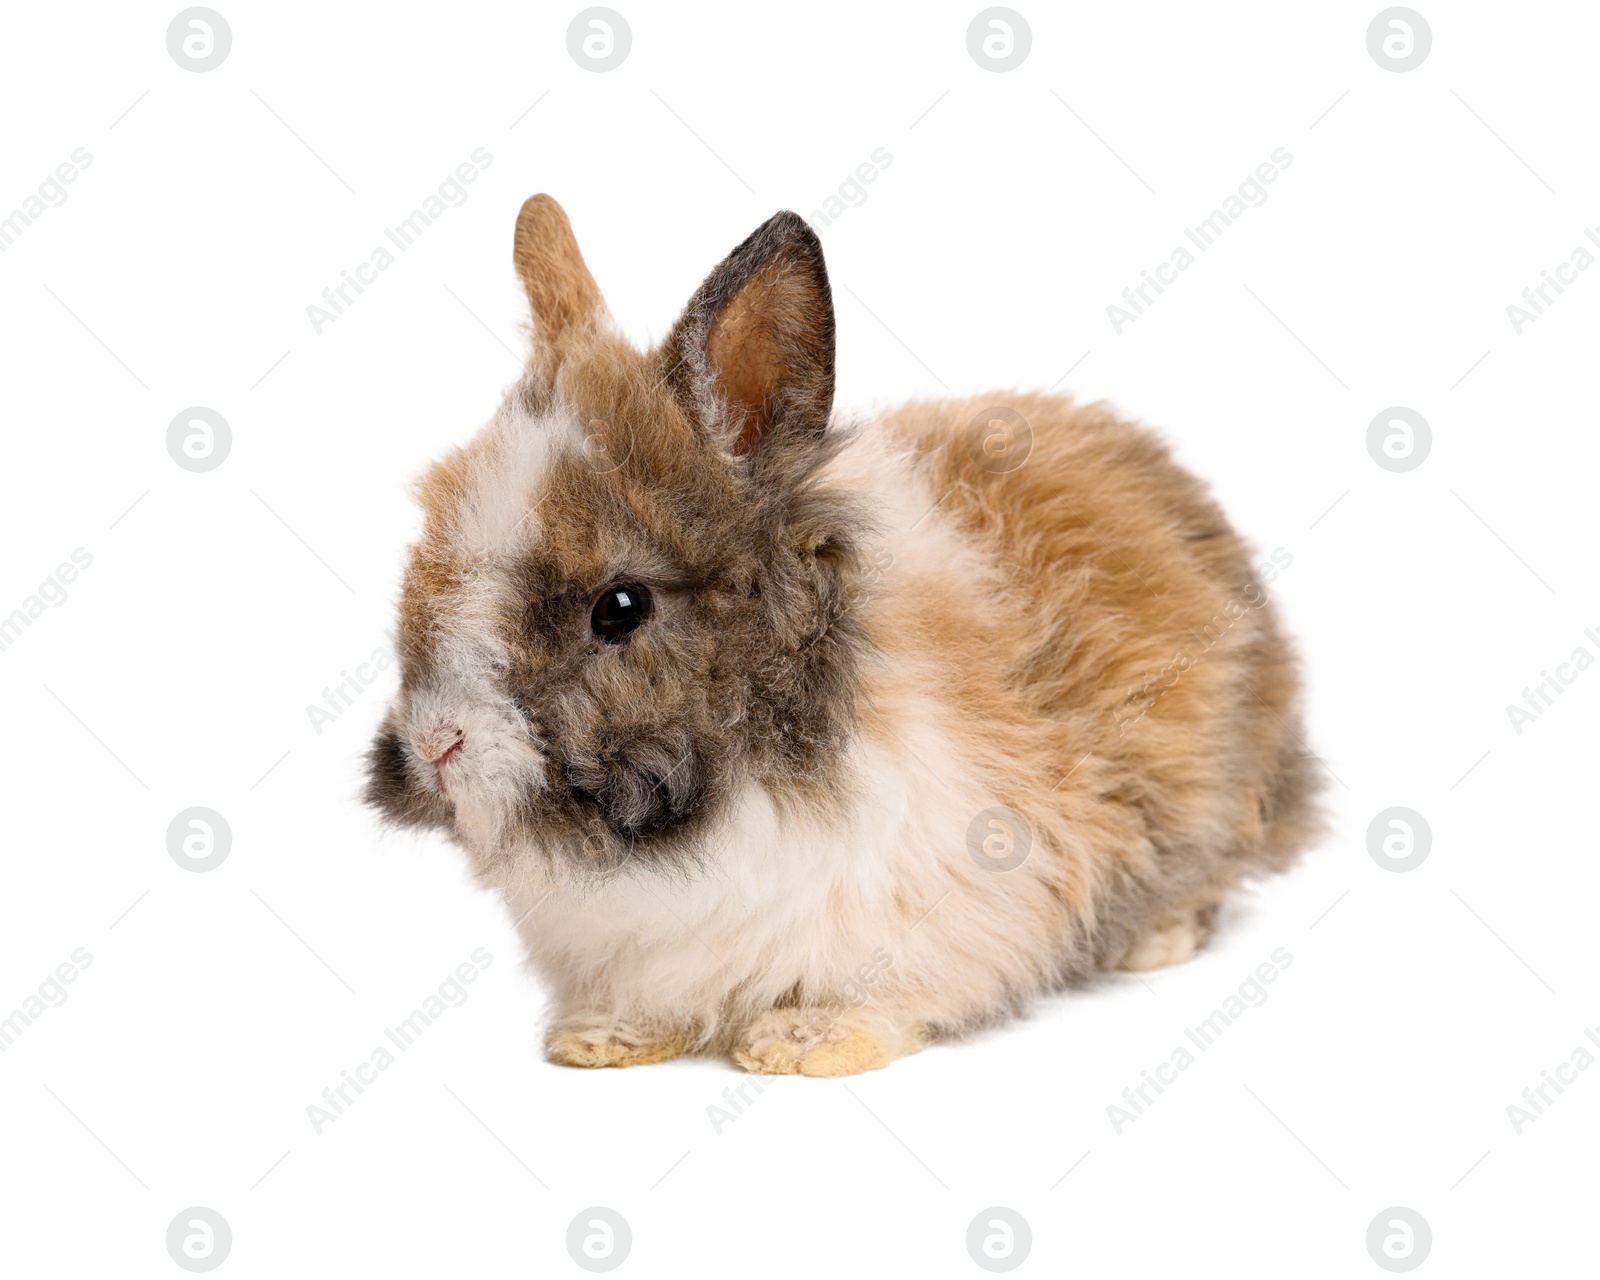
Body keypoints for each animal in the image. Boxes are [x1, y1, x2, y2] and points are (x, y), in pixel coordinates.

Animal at [368, 197, 1318, 1081]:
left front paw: (801, 1045)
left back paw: (1151, 942)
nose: (436, 744)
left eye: (621, 607)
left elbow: (877, 993)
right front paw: (601, 1039)